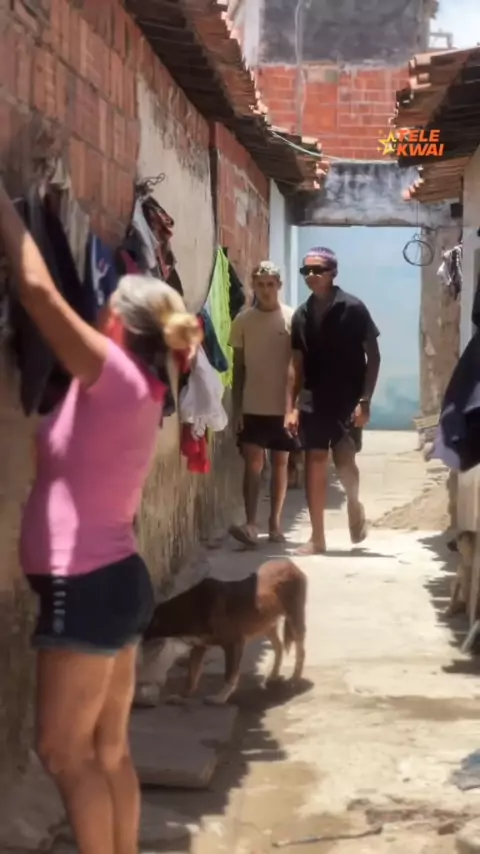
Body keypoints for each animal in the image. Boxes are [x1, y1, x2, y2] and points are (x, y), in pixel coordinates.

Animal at [139, 558, 307, 706]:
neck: (191, 608)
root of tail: (290, 564)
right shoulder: (199, 646)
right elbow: (191, 674)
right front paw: (182, 695)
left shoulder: (235, 643)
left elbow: (229, 674)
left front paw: (220, 698)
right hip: (265, 623)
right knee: (279, 647)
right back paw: (273, 674)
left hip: (294, 618)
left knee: (301, 651)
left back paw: (295, 679)